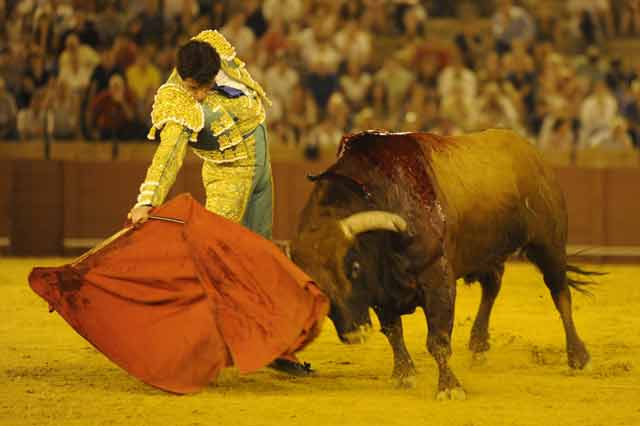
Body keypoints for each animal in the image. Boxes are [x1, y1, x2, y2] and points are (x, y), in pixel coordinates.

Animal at [290, 129, 596, 400]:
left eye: (353, 268)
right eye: (316, 287)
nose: (355, 334)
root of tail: (532, 153)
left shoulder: (437, 278)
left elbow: (437, 339)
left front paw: (449, 388)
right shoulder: (381, 291)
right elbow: (394, 332)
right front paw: (404, 375)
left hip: (549, 243)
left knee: (560, 293)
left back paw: (578, 356)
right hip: (486, 252)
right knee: (492, 285)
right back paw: (479, 345)